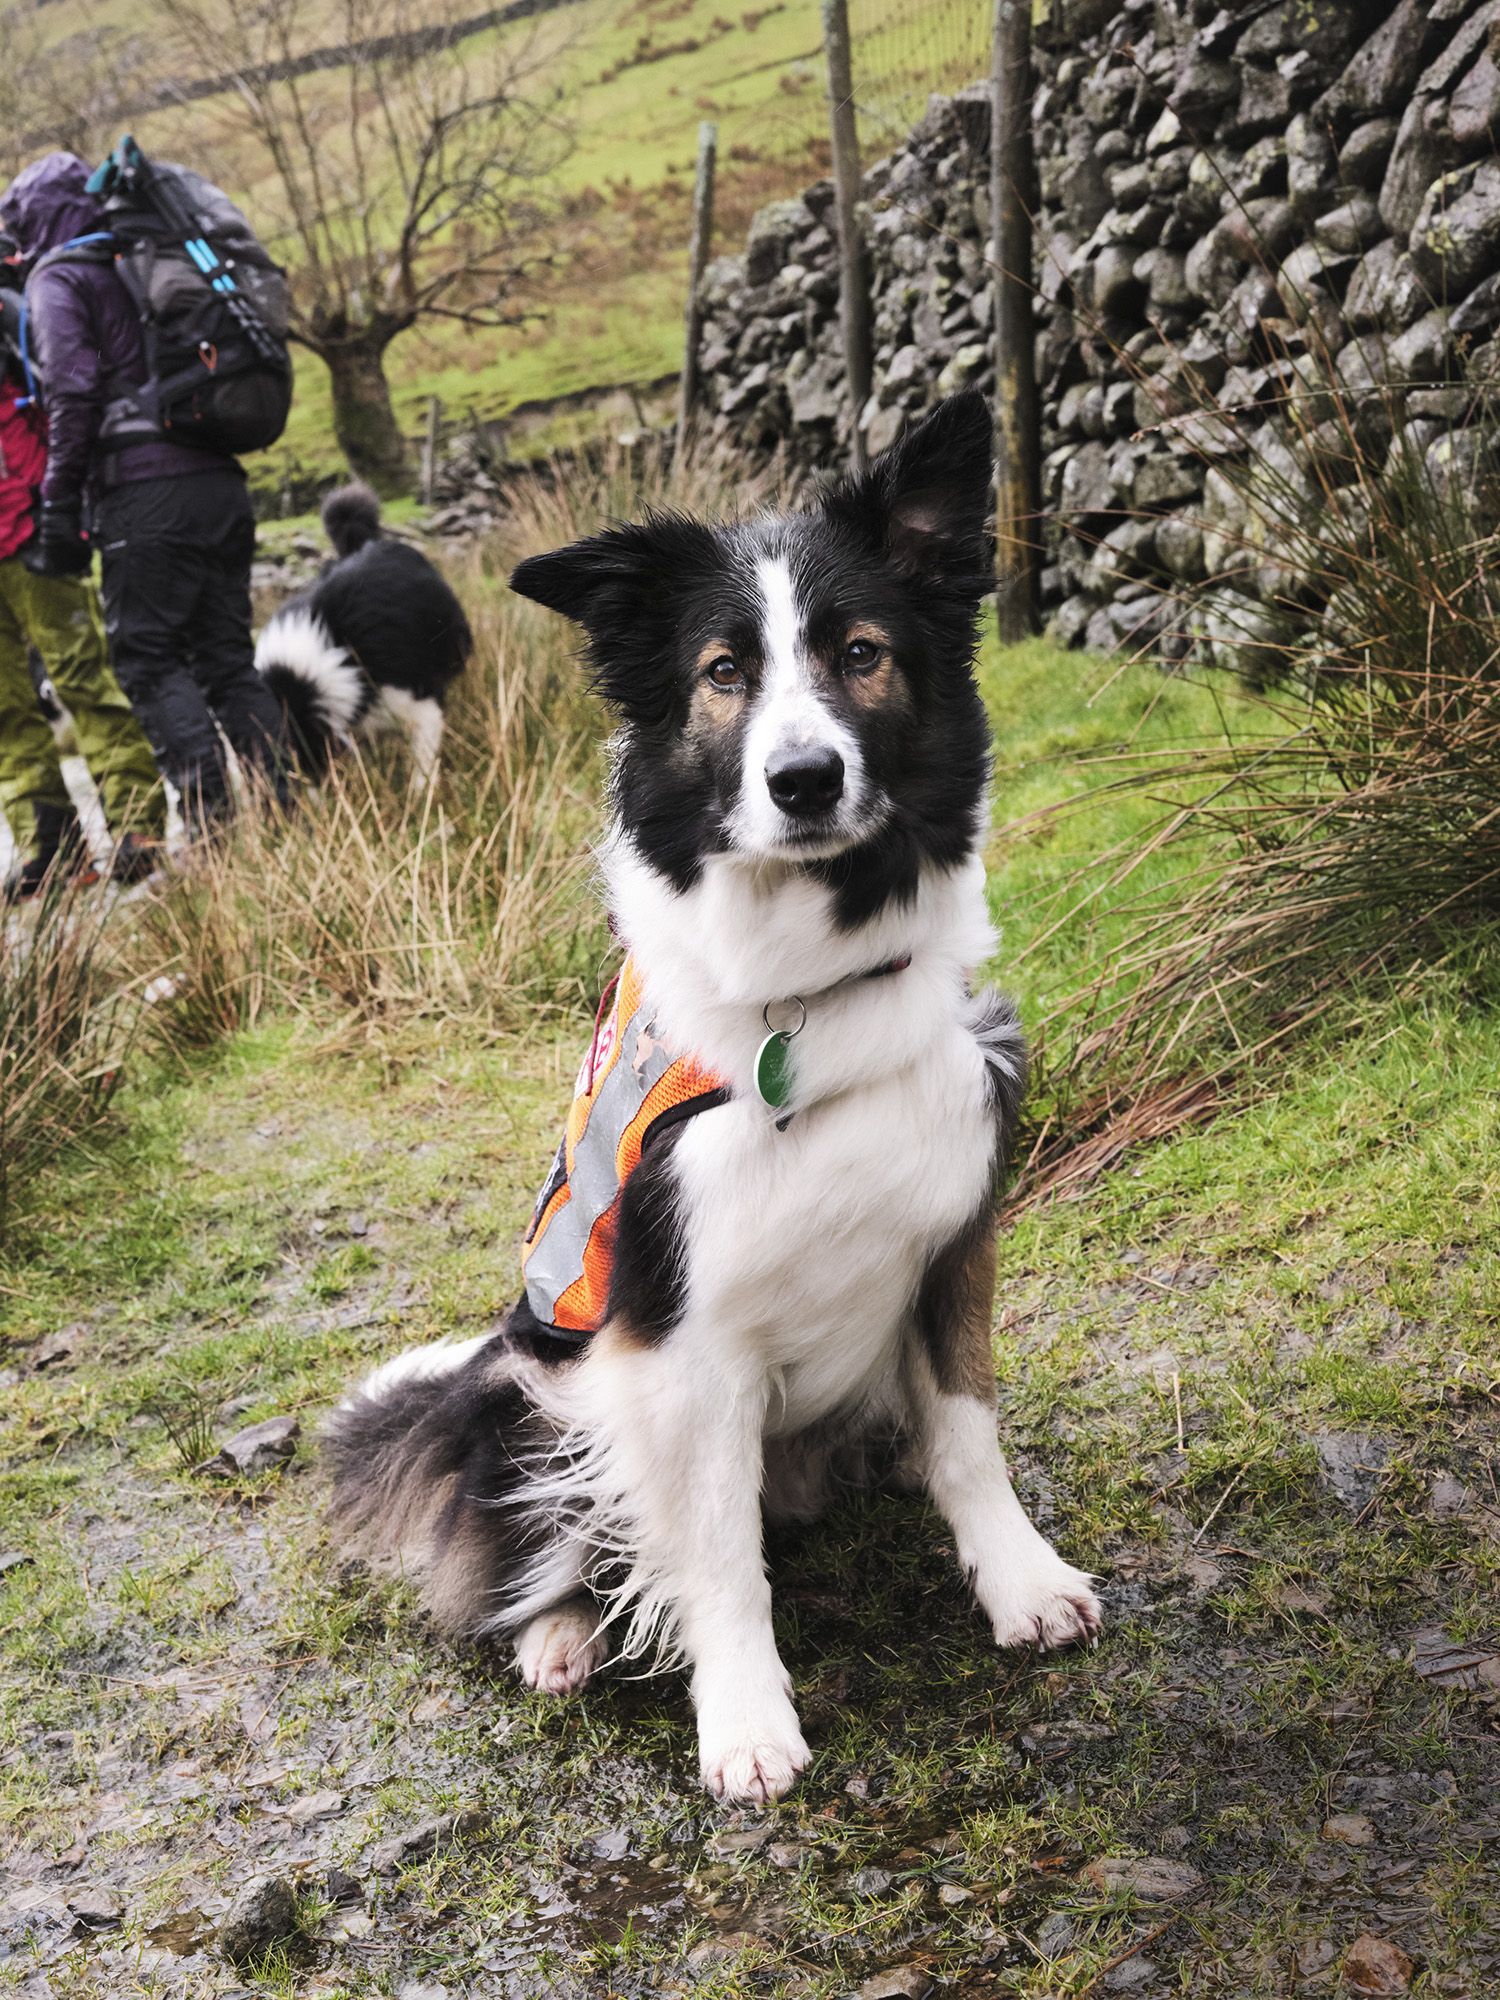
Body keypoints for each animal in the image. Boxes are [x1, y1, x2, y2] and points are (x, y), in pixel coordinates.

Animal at [326, 394, 1104, 1816]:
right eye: (724, 671)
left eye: (860, 653)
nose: (804, 778)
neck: (808, 995)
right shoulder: (676, 1342)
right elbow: (717, 1557)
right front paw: (743, 1721)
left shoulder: (953, 1238)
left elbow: (967, 1435)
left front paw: (1020, 1581)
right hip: (524, 1385)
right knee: (542, 1548)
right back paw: (560, 1635)